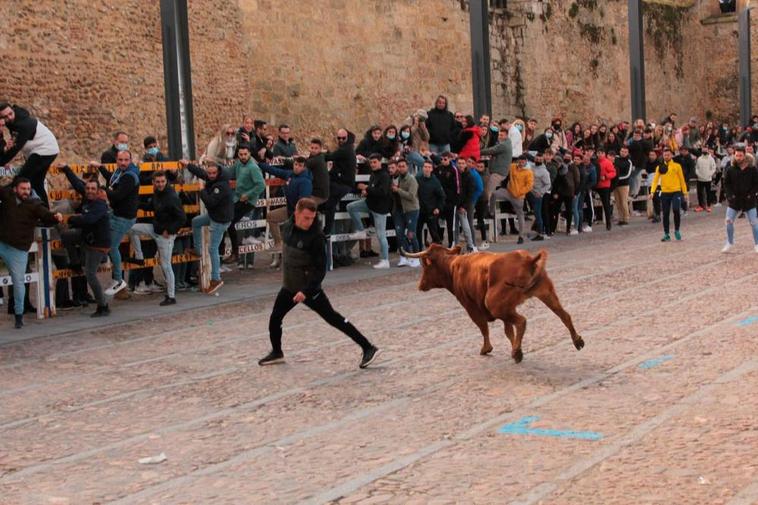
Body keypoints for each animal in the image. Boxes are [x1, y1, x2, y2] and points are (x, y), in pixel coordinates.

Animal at [406, 244, 584, 362]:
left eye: (425, 267)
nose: (420, 285)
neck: (453, 266)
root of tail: (527, 260)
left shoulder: (471, 307)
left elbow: (483, 327)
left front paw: (487, 348)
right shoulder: (508, 309)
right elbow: (508, 331)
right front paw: (513, 345)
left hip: (495, 305)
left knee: (522, 321)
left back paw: (517, 353)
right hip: (546, 293)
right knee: (564, 315)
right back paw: (577, 341)